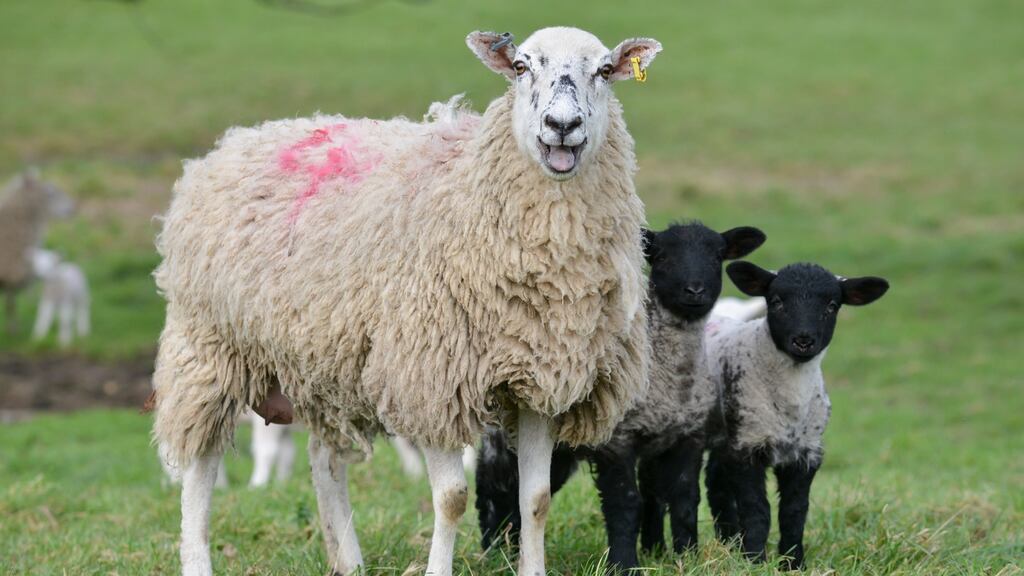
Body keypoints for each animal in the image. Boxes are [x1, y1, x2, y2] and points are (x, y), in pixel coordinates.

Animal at [0, 168, 74, 334]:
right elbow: (11, 304)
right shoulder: (10, 276)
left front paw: (11, 328)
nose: (74, 207)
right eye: (50, 193)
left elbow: (10, 303)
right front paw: (13, 330)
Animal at [151, 26, 661, 576]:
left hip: (321, 358)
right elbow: (453, 498)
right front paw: (438, 568)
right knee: (199, 467)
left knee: (324, 460)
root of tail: (235, 142)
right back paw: (198, 556)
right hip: (209, 348)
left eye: (604, 70)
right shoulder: (431, 377)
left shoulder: (544, 379)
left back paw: (348, 561)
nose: (561, 126)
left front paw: (534, 569)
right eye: (522, 67)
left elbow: (537, 499)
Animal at [474, 222, 767, 570]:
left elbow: (685, 499)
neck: (670, 378)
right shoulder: (617, 440)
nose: (695, 291)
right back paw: (493, 553)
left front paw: (687, 558)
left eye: (717, 256)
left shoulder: (687, 437)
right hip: (501, 437)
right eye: (661, 257)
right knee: (493, 490)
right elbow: (626, 502)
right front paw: (625, 563)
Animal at [704, 261, 889, 570]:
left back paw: (729, 544)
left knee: (716, 483)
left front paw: (793, 564)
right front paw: (755, 561)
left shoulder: (806, 452)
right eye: (777, 301)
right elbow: (757, 509)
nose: (803, 340)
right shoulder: (747, 446)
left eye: (832, 305)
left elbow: (794, 511)